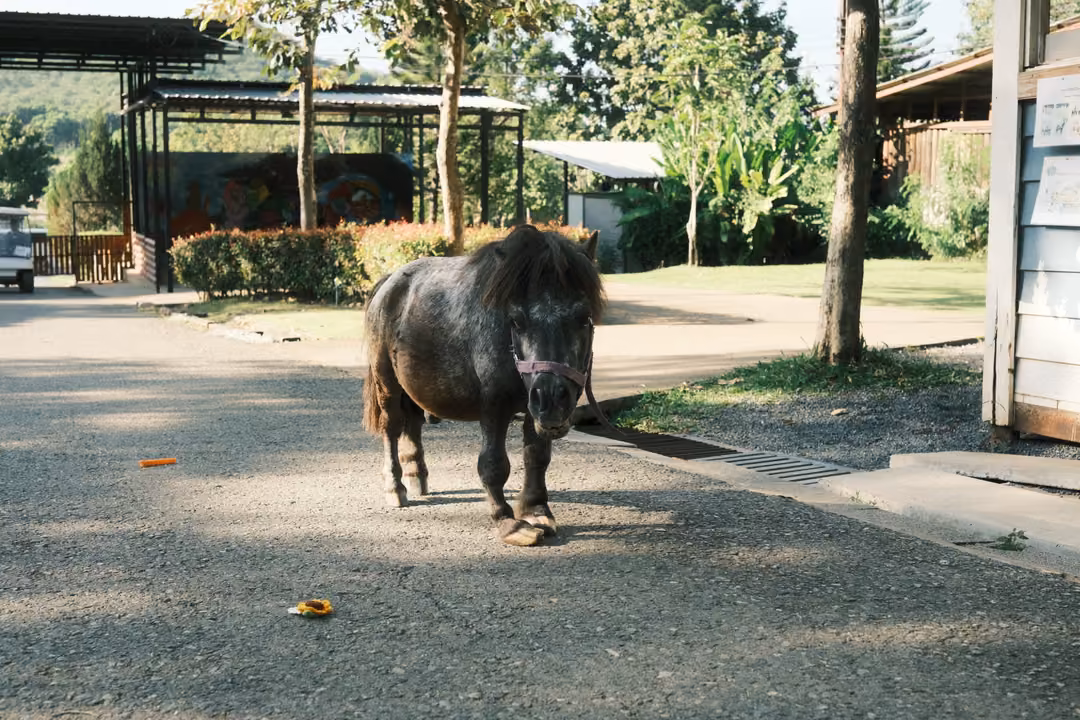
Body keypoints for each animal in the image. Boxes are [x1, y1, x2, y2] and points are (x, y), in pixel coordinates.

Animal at [363, 225, 604, 546]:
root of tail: (389, 283)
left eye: (584, 316)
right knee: (391, 427)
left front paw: (536, 510)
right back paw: (395, 486)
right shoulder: (494, 406)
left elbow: (537, 456)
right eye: (516, 320)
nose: (553, 399)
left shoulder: (533, 406)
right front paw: (508, 522)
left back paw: (417, 475)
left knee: (413, 424)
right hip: (387, 384)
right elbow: (493, 464)